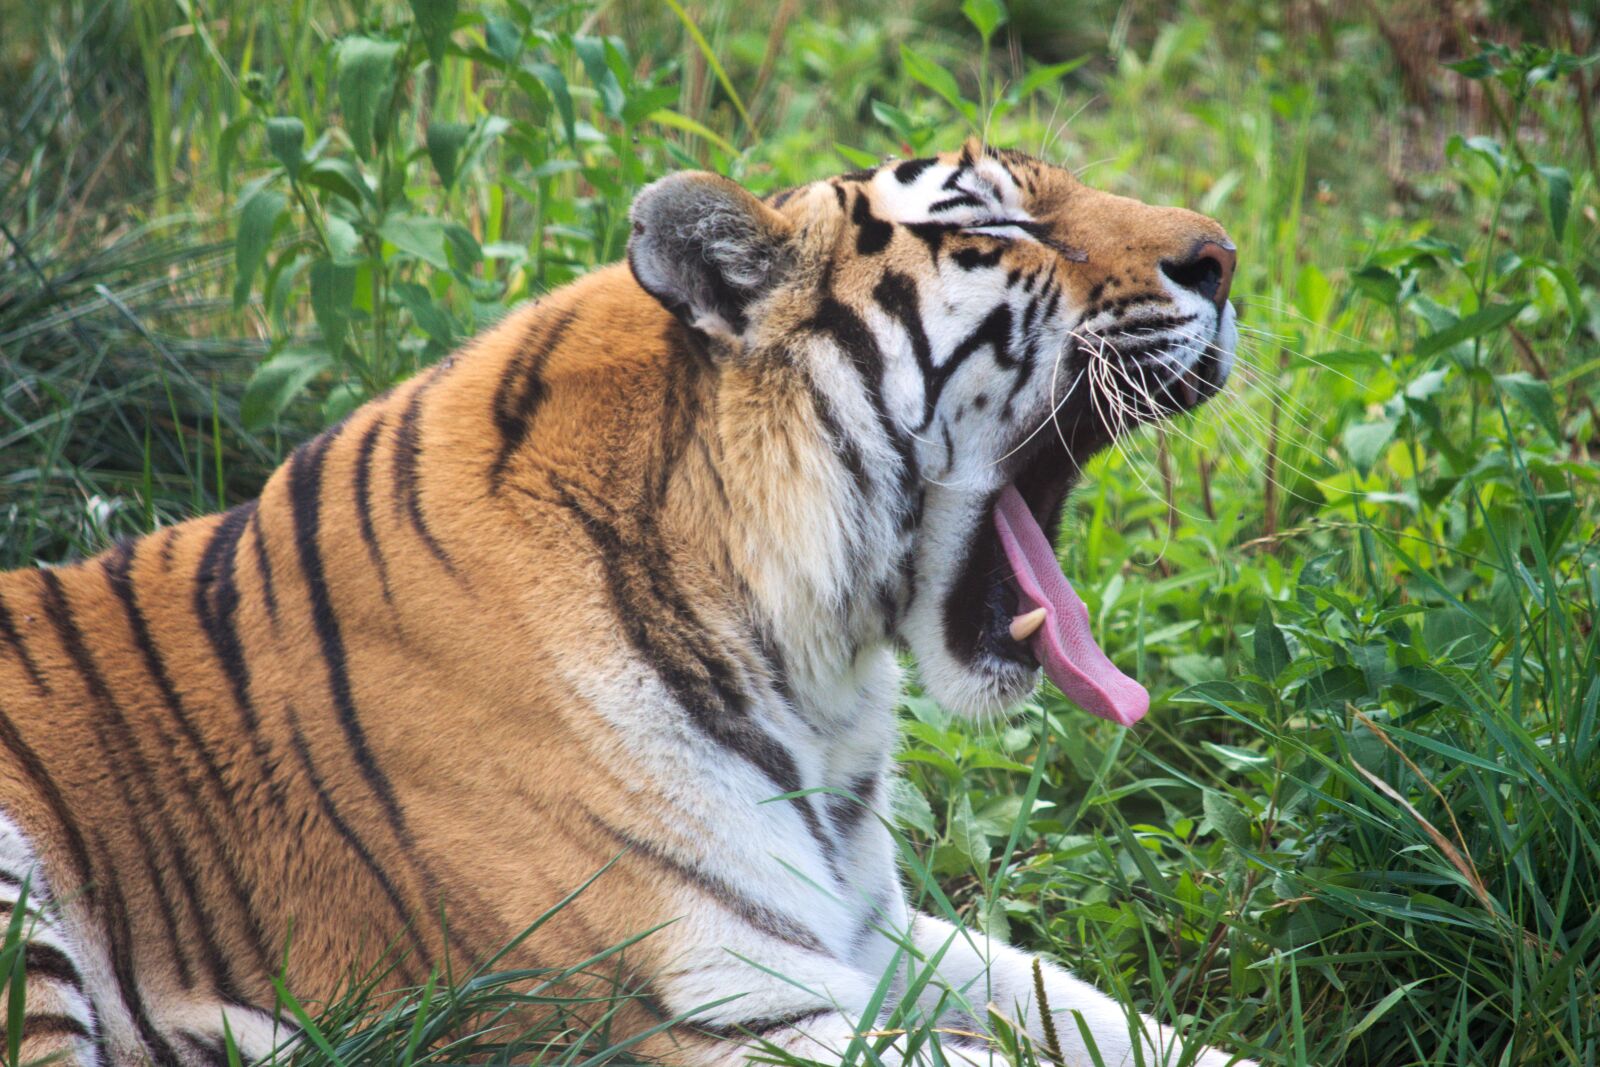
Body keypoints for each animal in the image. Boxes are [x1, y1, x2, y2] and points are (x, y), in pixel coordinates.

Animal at [0, 140, 1253, 1067]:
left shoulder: (876, 928)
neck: (809, 668)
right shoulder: (727, 1004)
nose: (1226, 257)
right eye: (990, 226)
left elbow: (1099, 1013)